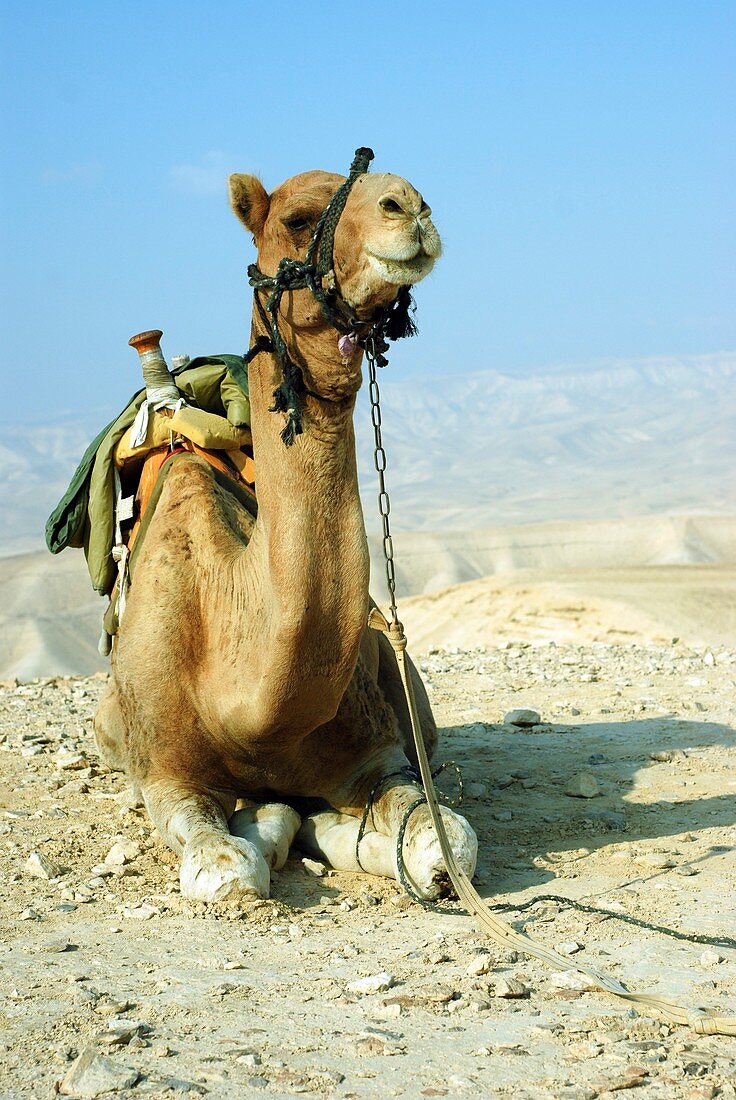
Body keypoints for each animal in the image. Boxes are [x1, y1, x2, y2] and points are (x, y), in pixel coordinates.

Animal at [94, 152, 477, 902]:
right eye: (298, 220)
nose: (410, 206)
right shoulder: (167, 777)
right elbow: (229, 869)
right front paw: (271, 821)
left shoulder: (381, 752)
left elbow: (446, 840)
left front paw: (345, 833)